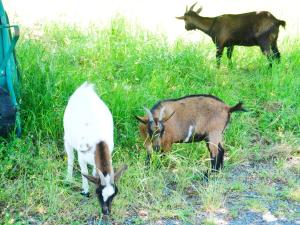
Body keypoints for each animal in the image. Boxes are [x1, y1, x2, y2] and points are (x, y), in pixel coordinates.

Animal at [63, 82, 127, 216]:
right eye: (99, 192)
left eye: (114, 193)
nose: (106, 211)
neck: (99, 142)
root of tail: (85, 88)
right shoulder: (81, 157)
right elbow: (84, 172)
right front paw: (85, 191)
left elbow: (94, 171)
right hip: (67, 138)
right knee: (70, 157)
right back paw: (68, 179)